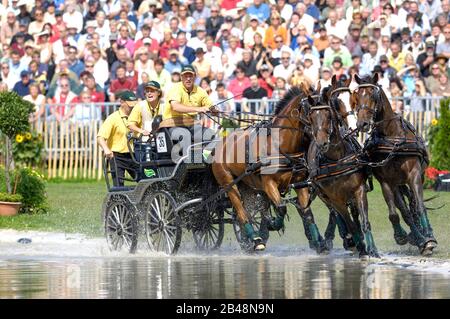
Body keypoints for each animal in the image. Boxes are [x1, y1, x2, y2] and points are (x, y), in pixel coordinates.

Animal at [211, 85, 326, 252]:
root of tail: (219, 144)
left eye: (327, 109)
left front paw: (318, 241)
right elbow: (281, 207)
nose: (324, 138)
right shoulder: (269, 184)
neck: (280, 145)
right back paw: (255, 238)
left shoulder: (300, 184)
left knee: (250, 210)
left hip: (248, 185)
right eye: (309, 108)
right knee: (241, 212)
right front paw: (273, 223)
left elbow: (307, 212)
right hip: (229, 184)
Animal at [302, 94, 380, 258]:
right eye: (311, 118)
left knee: (353, 214)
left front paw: (372, 249)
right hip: (325, 196)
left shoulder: (359, 190)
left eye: (328, 115)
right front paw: (361, 247)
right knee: (337, 215)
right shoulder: (336, 199)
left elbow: (364, 221)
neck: (337, 159)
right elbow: (349, 223)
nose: (322, 143)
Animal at [352, 74, 436, 256]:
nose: (362, 124)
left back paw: (425, 234)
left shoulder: (414, 174)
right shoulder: (386, 181)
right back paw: (416, 236)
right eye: (357, 96)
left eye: (373, 95)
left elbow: (419, 206)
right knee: (405, 210)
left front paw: (429, 238)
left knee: (414, 205)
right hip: (397, 184)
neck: (392, 139)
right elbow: (395, 214)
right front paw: (402, 236)